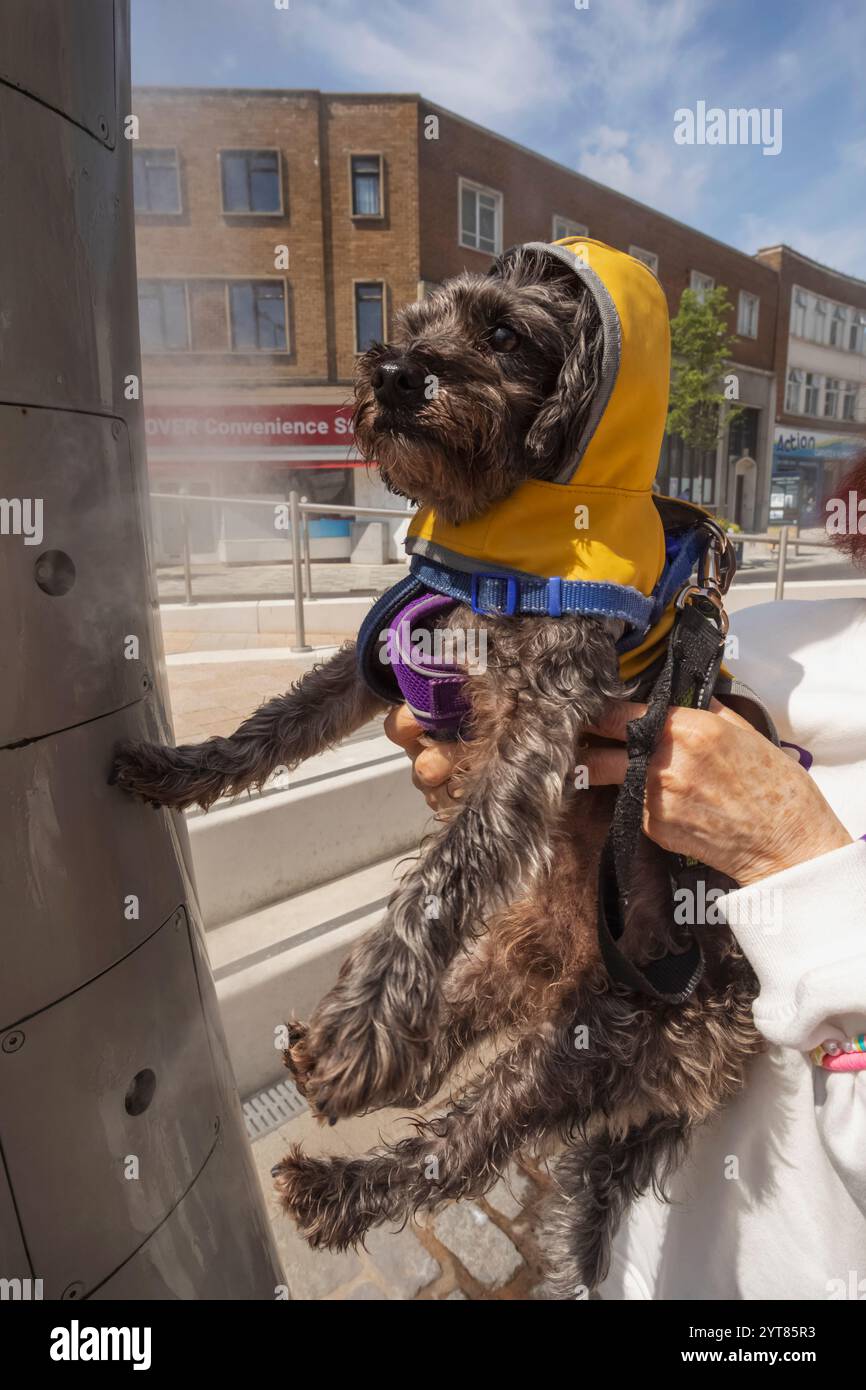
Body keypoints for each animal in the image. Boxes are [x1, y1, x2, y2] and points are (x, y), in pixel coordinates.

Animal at [113, 239, 772, 1289]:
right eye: (413, 321)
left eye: (504, 333)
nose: (391, 373)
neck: (500, 536)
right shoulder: (380, 662)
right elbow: (276, 727)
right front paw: (179, 769)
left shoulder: (537, 733)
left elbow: (446, 873)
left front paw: (359, 1027)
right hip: (516, 962)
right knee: (453, 1030)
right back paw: (361, 1057)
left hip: (598, 1040)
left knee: (461, 1146)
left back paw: (337, 1176)